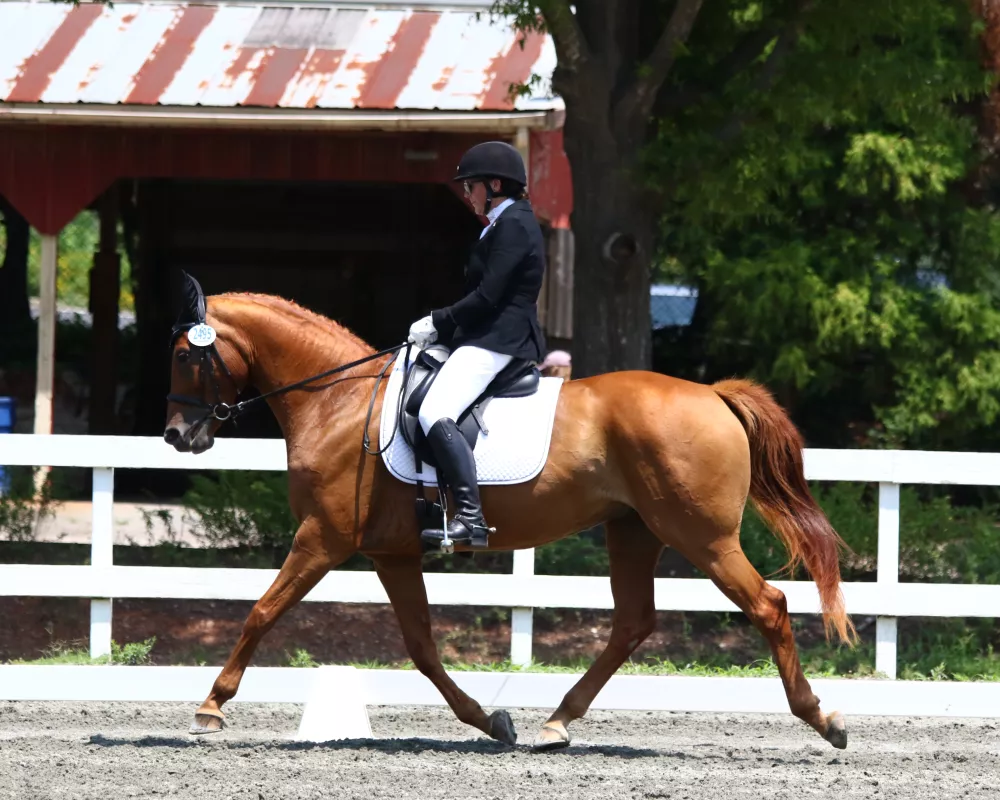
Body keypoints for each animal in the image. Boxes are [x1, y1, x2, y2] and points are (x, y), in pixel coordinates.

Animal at [162, 292, 852, 752]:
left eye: (184, 356)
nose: (176, 436)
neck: (339, 401)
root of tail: (712, 394)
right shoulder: (392, 553)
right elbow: (421, 646)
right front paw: (490, 721)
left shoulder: (322, 539)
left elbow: (261, 611)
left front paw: (210, 707)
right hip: (634, 531)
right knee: (632, 624)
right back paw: (556, 722)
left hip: (700, 537)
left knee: (768, 605)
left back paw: (824, 720)